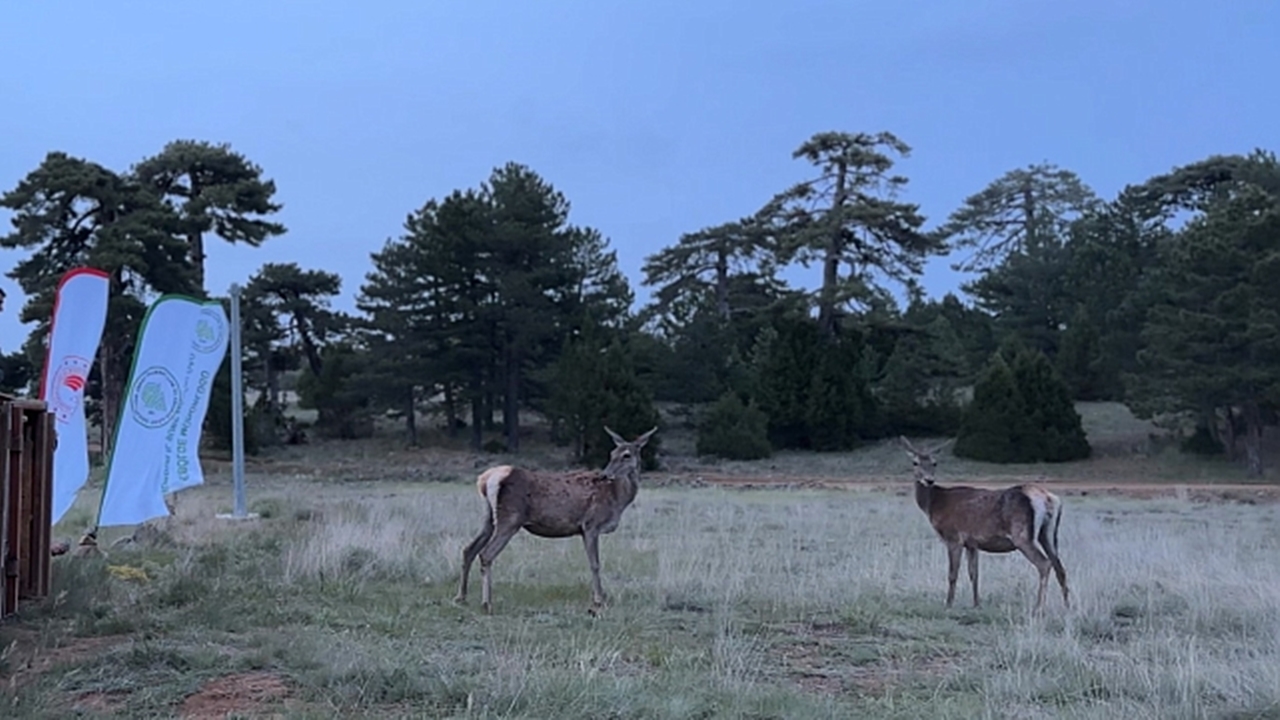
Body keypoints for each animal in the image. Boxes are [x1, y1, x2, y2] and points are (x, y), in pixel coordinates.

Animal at [453, 422, 655, 614]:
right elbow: (595, 564)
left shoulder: (586, 529)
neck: (617, 499)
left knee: (468, 549)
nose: (606, 475)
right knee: (486, 554)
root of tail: (486, 479)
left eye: (626, 455)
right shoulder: (591, 525)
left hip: (489, 517)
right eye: (613, 453)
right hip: (509, 519)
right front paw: (599, 600)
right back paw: (487, 603)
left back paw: (461, 597)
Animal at [901, 430, 1070, 609]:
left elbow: (952, 574)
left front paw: (948, 604)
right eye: (915, 462)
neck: (934, 504)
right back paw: (1067, 607)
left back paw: (1039, 608)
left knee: (1044, 564)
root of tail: (1048, 498)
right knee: (1060, 567)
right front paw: (976, 604)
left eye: (935, 463)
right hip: (1048, 534)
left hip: (1022, 535)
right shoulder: (972, 543)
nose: (929, 480)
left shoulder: (953, 537)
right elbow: (974, 574)